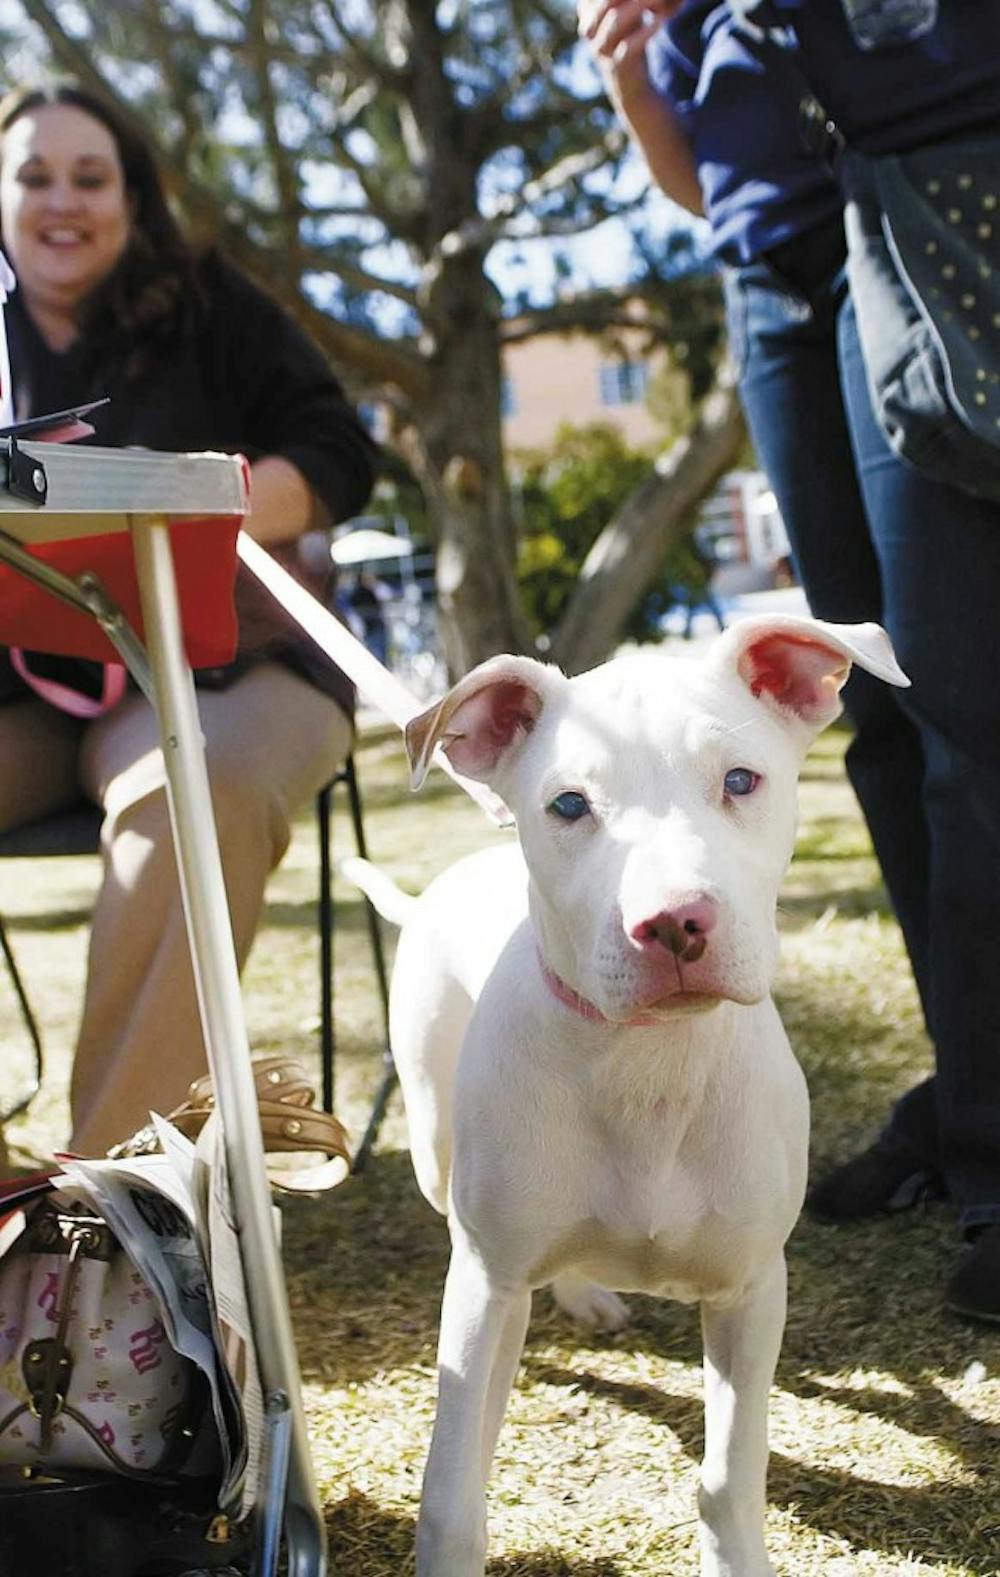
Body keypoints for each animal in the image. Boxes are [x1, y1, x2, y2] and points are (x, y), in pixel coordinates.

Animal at [356, 615, 902, 1577]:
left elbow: (730, 1470)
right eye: (569, 805)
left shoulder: (751, 1290)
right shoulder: (485, 1286)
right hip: (435, 1154)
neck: (649, 1061)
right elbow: (452, 1483)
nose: (675, 922)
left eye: (739, 779)